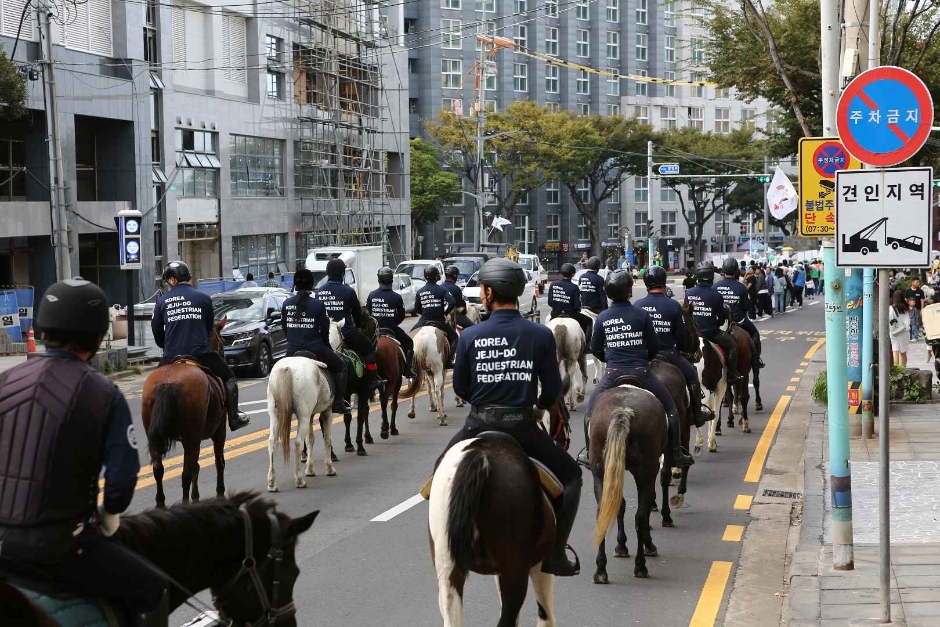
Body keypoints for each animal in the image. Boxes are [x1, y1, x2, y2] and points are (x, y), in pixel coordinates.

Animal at [141, 322, 226, 508]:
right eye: (222, 341)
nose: (224, 354)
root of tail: (168, 382)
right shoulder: (219, 431)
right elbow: (218, 461)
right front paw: (220, 492)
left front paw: (197, 495)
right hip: (193, 438)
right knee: (186, 473)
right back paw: (185, 504)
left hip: (155, 437)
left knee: (158, 469)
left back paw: (161, 503)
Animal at [266, 324, 344, 490]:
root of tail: (287, 367)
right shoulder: (328, 412)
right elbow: (327, 438)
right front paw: (329, 468)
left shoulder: (311, 415)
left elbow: (310, 439)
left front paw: (310, 469)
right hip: (302, 415)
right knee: (297, 443)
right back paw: (299, 479)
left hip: (276, 414)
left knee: (272, 442)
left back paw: (272, 483)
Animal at [588, 386, 668, 588]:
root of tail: (623, 410)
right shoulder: (651, 472)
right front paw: (647, 545)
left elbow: (619, 506)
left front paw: (621, 546)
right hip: (645, 472)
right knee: (640, 516)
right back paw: (640, 566)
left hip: (600, 472)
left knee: (602, 512)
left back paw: (601, 571)